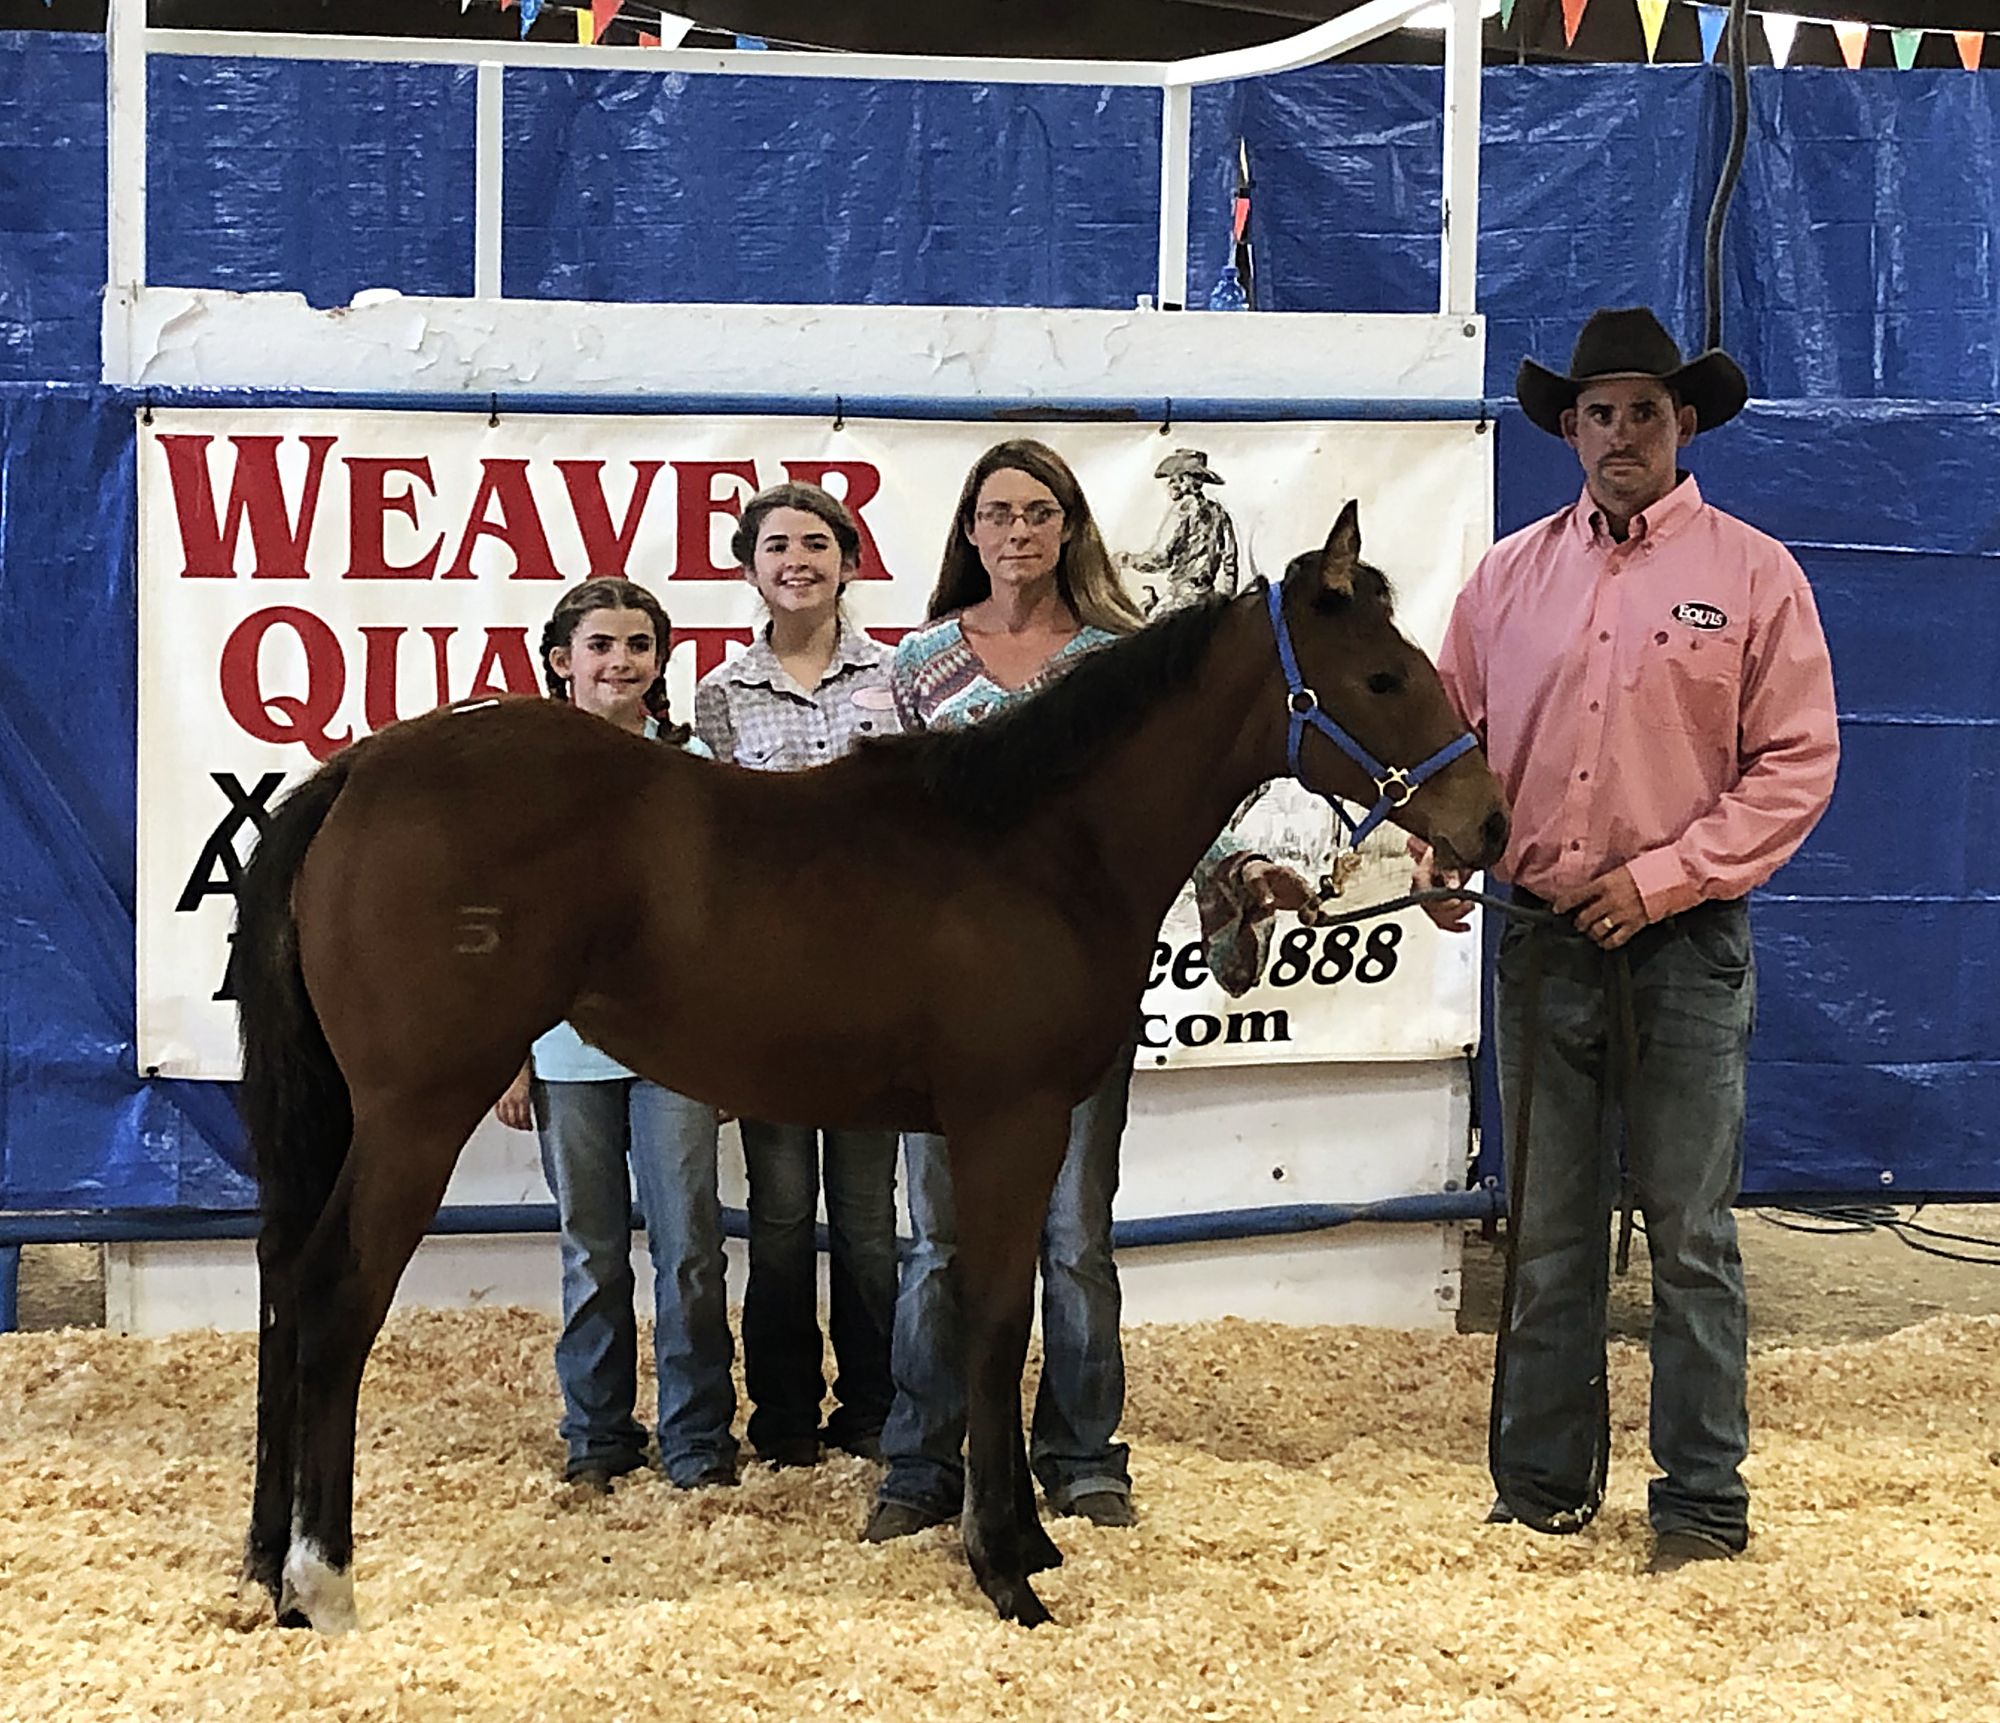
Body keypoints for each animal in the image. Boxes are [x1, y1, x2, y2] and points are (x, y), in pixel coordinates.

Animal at [233, 499, 1508, 1634]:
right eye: (1381, 678)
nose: (1487, 822)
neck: (1036, 845)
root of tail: (356, 773)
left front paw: (1020, 1537)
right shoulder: (1008, 1119)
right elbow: (992, 1316)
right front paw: (1006, 1564)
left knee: (284, 1288)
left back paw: (262, 1572)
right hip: (414, 1113)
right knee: (334, 1299)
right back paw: (322, 1580)